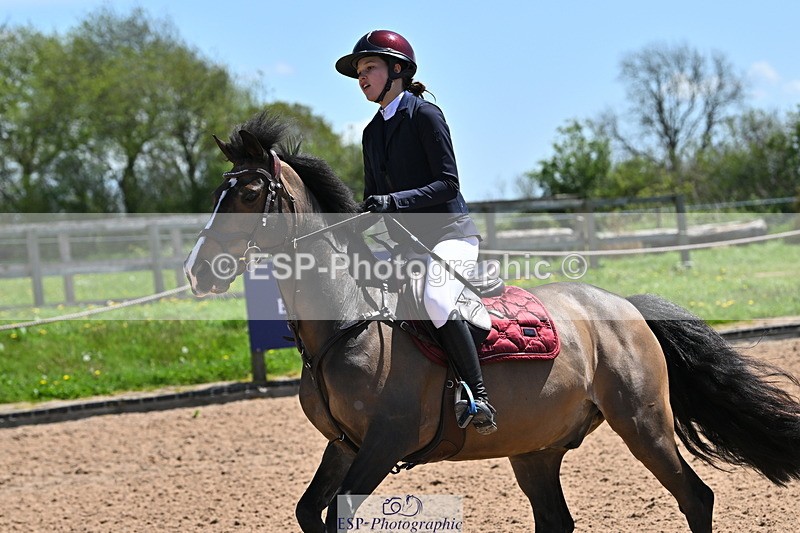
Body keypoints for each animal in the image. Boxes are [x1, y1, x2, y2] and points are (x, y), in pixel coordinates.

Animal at [184, 111, 800, 532]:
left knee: (695, 497)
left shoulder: (382, 443)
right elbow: (310, 511)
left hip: (643, 422)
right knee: (558, 521)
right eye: (219, 191)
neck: (349, 322)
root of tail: (623, 306)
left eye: (247, 192)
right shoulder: (343, 446)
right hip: (537, 449)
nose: (197, 271)